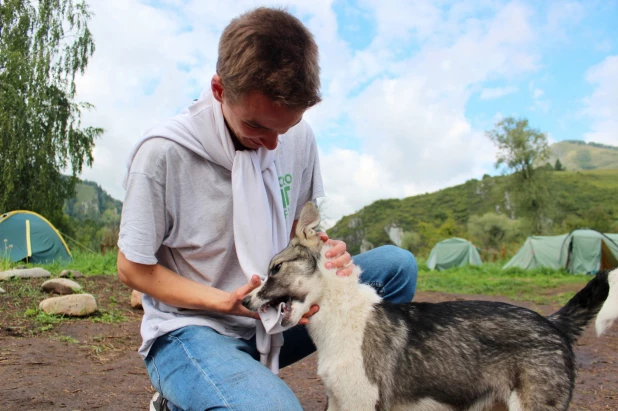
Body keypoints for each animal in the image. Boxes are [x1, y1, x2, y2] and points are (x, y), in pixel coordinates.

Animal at [241, 204, 616, 411]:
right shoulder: (337, 402)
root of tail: (553, 323)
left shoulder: (360, 403)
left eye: (276, 268)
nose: (244, 301)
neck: (341, 315)